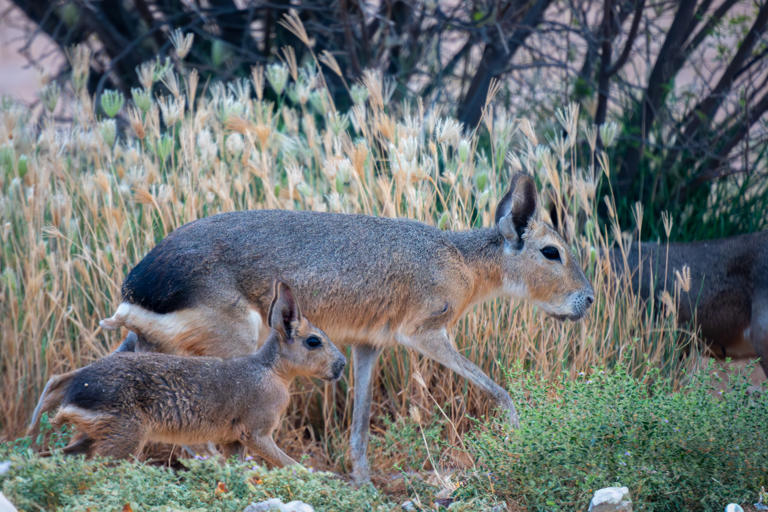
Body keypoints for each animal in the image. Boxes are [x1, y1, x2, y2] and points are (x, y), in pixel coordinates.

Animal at [28, 281, 346, 465]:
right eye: (313, 341)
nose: (341, 365)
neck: (269, 370)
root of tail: (73, 395)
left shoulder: (232, 442)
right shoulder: (256, 433)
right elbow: (293, 465)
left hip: (92, 437)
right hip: (124, 440)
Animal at [99, 172, 595, 482]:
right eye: (552, 251)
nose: (588, 299)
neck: (462, 261)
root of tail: (135, 288)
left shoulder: (367, 345)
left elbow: (358, 424)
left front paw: (364, 483)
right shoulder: (424, 332)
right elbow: (498, 389)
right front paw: (517, 436)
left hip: (152, 352)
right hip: (235, 351)